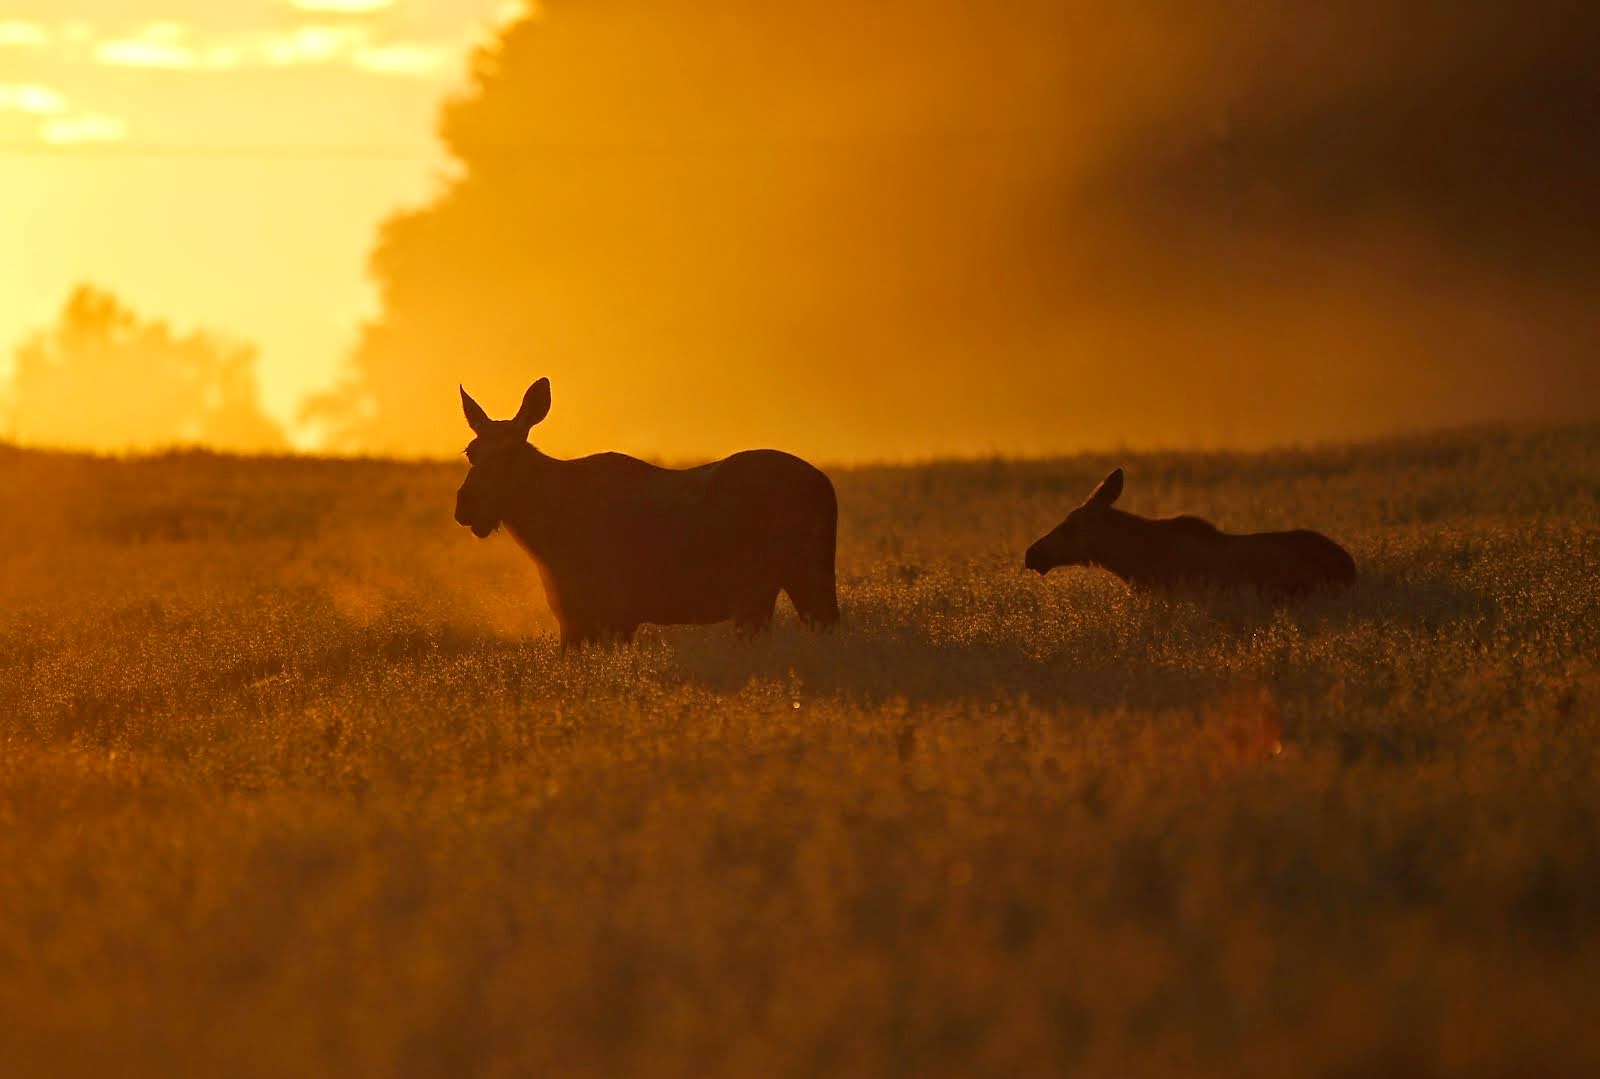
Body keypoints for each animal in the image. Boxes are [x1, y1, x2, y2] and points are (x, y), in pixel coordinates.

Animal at [454, 377, 838, 646]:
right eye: (471, 450)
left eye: (509, 452)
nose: (466, 504)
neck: (542, 535)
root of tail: (825, 488)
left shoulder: (604, 614)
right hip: (808, 577)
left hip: (758, 586)